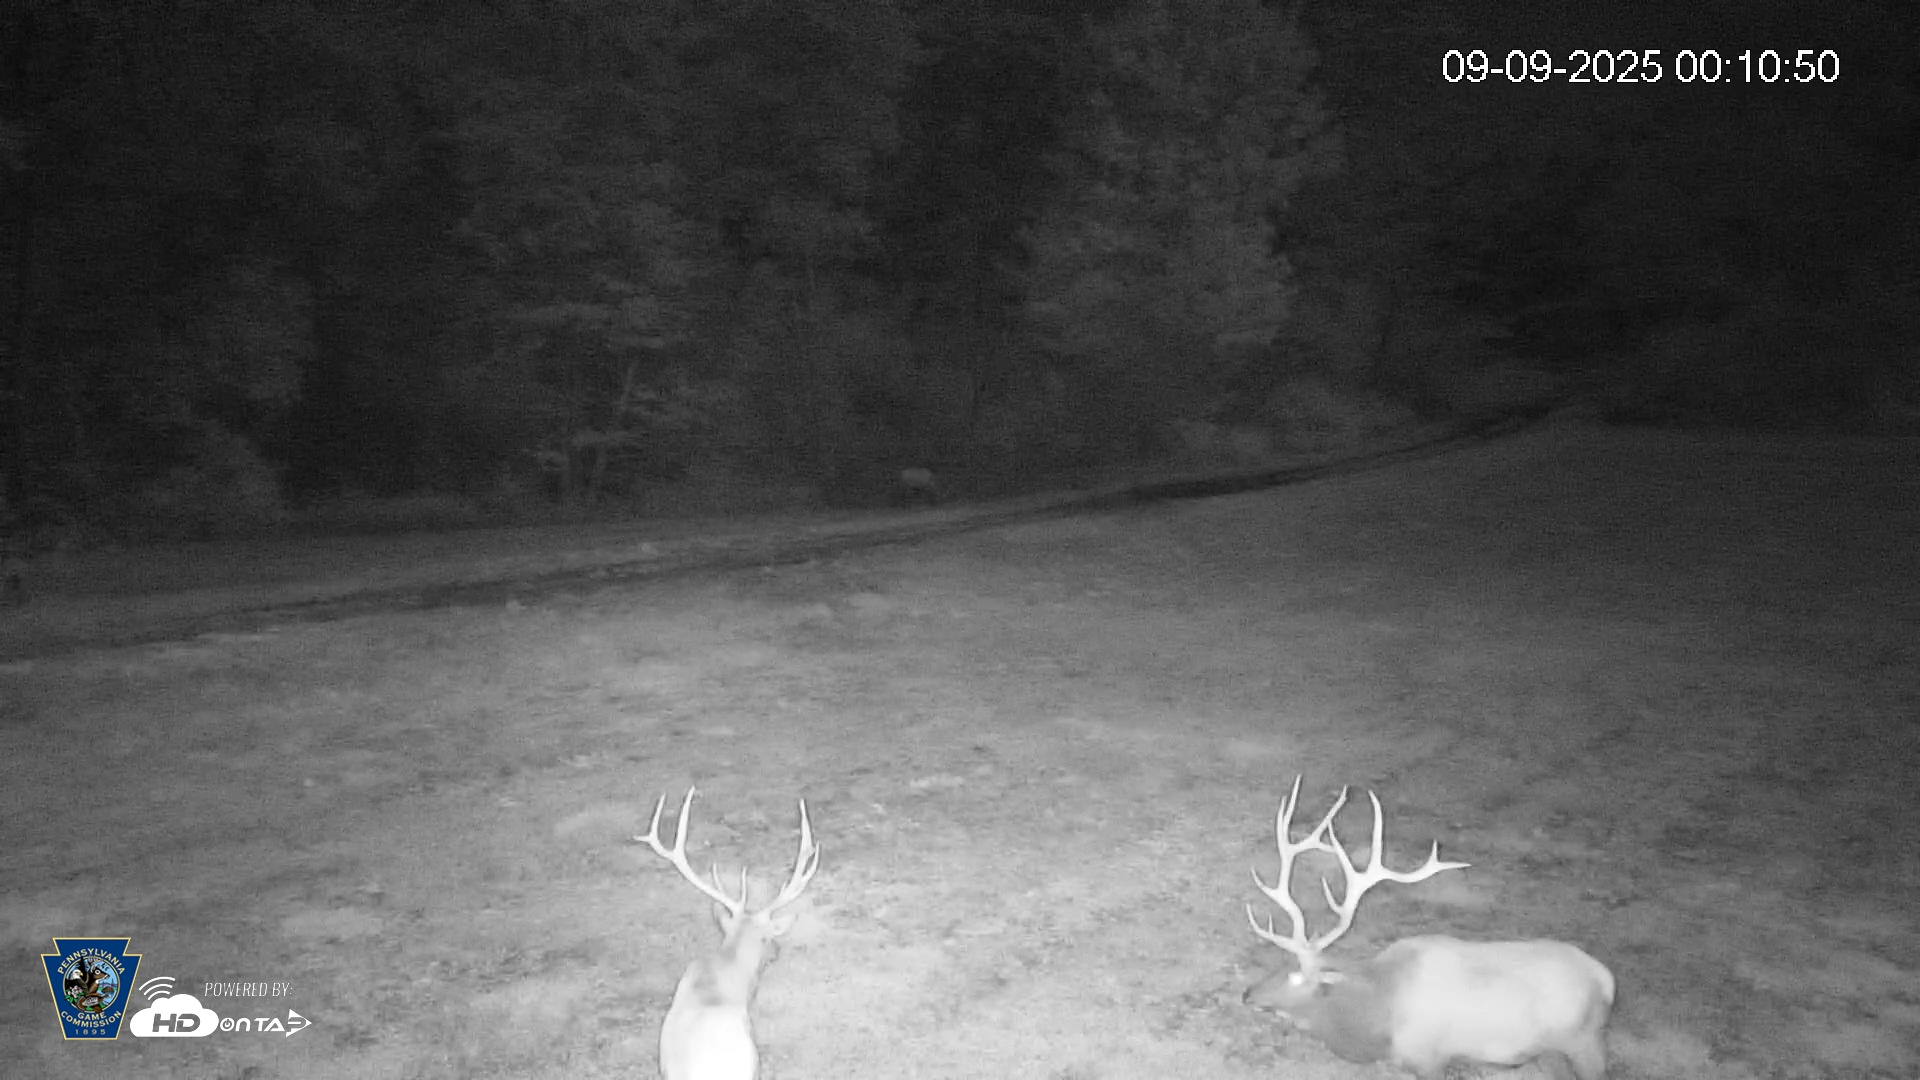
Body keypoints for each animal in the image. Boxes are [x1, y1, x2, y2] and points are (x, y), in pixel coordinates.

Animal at [1243, 776, 1616, 1080]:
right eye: (1278, 964)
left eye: (1294, 976)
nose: (1247, 994)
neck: (1378, 1020)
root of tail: (1606, 980)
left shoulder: (1429, 1059)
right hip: (1554, 1052)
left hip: (1583, 1043)